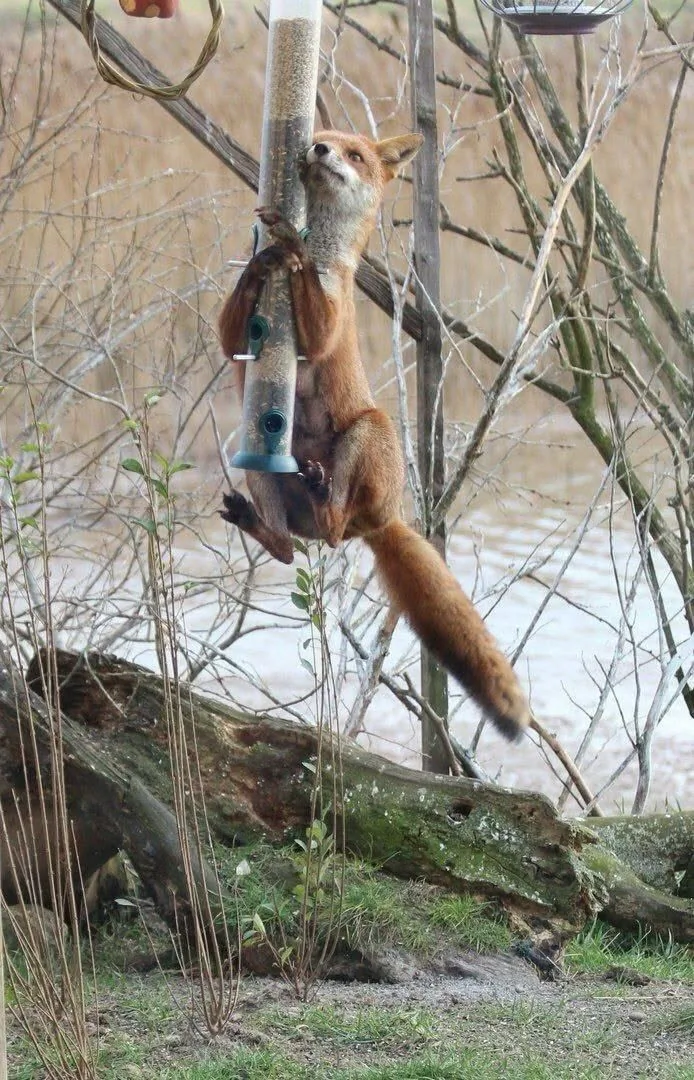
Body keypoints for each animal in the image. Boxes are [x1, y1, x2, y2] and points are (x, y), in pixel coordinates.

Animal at [218, 130, 531, 740]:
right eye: (324, 137)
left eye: (355, 154)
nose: (317, 148)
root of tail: (388, 518)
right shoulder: (233, 339)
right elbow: (232, 325)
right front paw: (265, 257)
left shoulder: (329, 320)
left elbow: (312, 303)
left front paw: (288, 244)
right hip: (257, 453)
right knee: (290, 550)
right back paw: (261, 523)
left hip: (369, 431)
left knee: (336, 531)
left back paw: (325, 498)